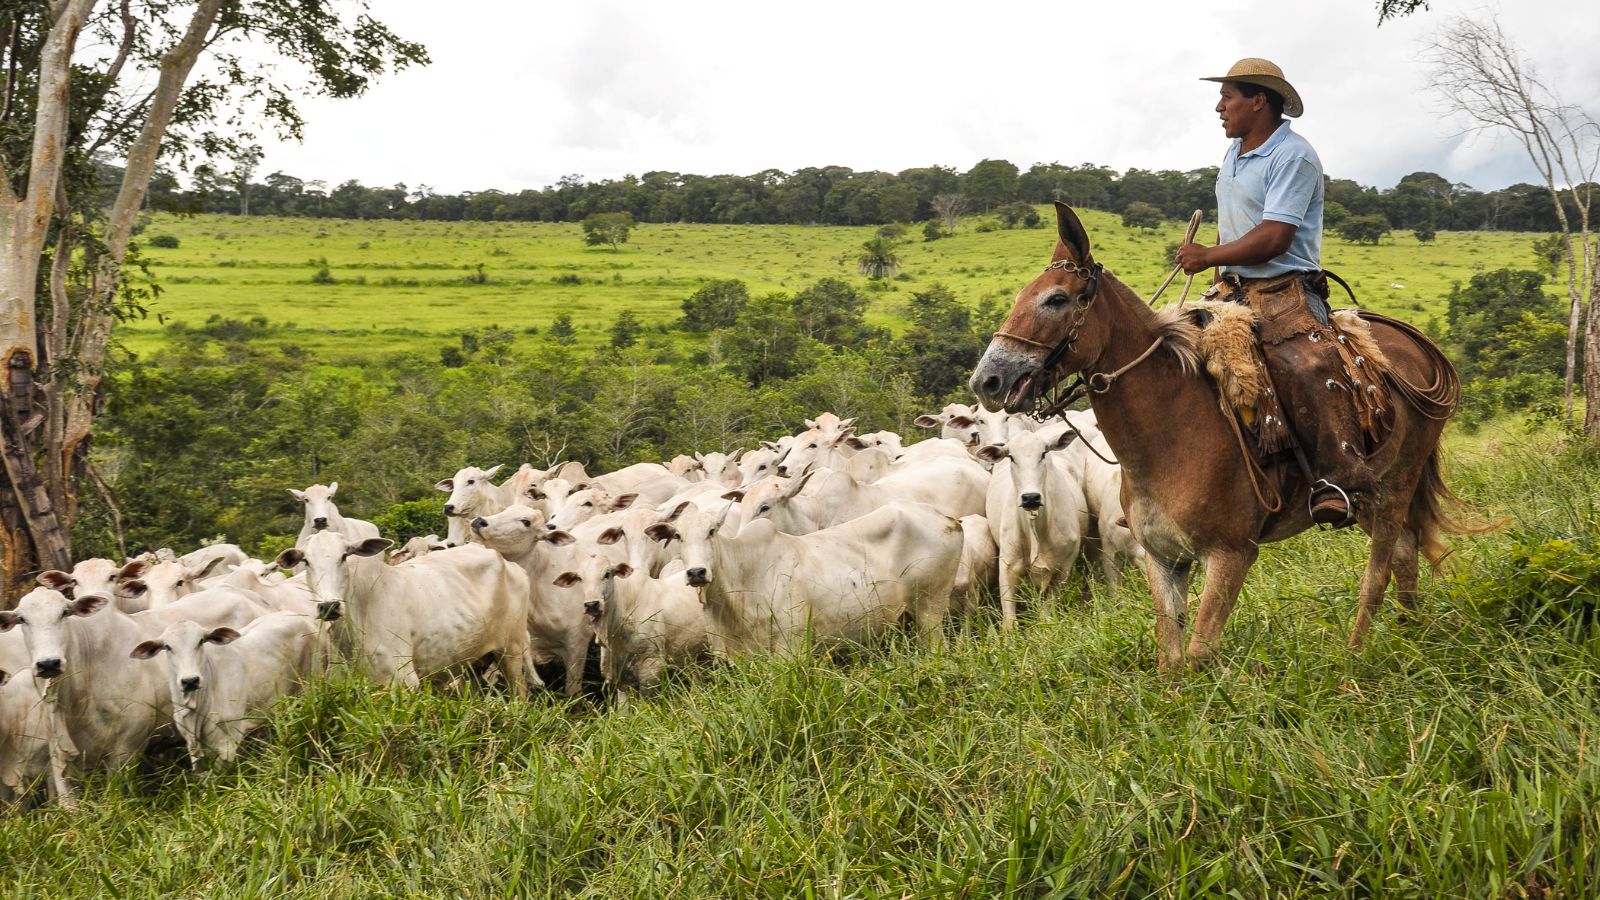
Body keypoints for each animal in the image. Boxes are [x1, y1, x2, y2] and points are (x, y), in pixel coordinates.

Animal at [272, 531, 528, 695]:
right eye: (306, 560)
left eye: (344, 555)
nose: (329, 606)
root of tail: (509, 563)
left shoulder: (404, 682)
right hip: (472, 661)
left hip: (512, 651)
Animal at [649, 496, 960, 650]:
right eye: (677, 535)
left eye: (712, 531)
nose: (696, 572)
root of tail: (947, 518)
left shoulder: (791, 644)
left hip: (930, 608)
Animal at [972, 422, 1088, 627]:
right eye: (1011, 457)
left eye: (1043, 453)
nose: (1031, 497)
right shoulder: (1008, 567)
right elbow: (1009, 620)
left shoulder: (1063, 569)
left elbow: (1046, 611)